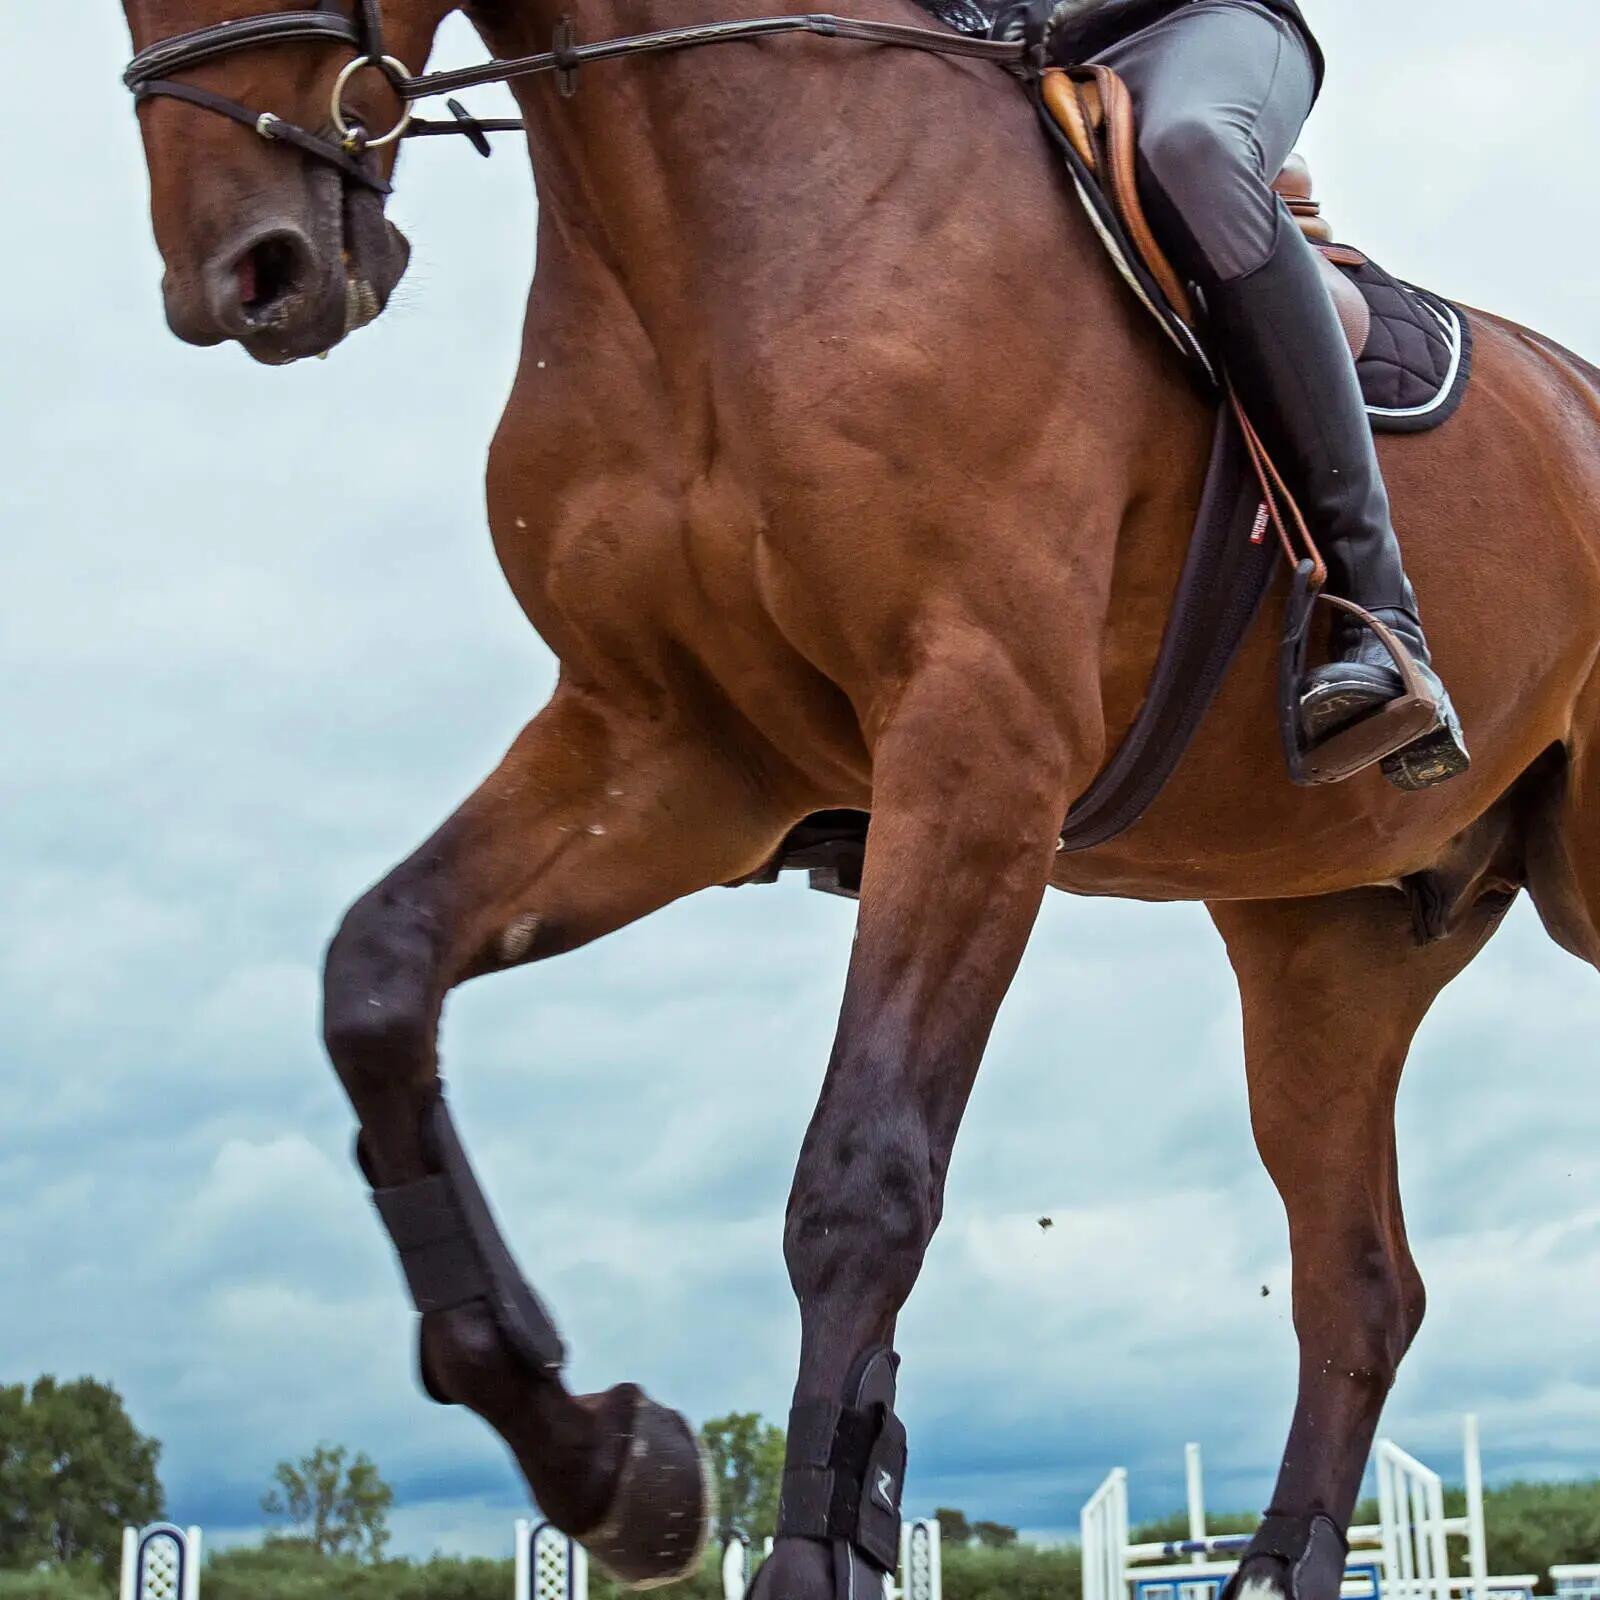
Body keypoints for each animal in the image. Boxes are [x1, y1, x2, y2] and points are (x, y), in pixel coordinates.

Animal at [116, 2, 1600, 1597]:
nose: (244, 274)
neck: (710, 229)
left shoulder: (976, 743)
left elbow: (862, 1182)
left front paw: (796, 1538)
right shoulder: (670, 755)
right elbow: (379, 984)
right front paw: (611, 1461)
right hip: (1327, 951)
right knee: (1358, 1290)